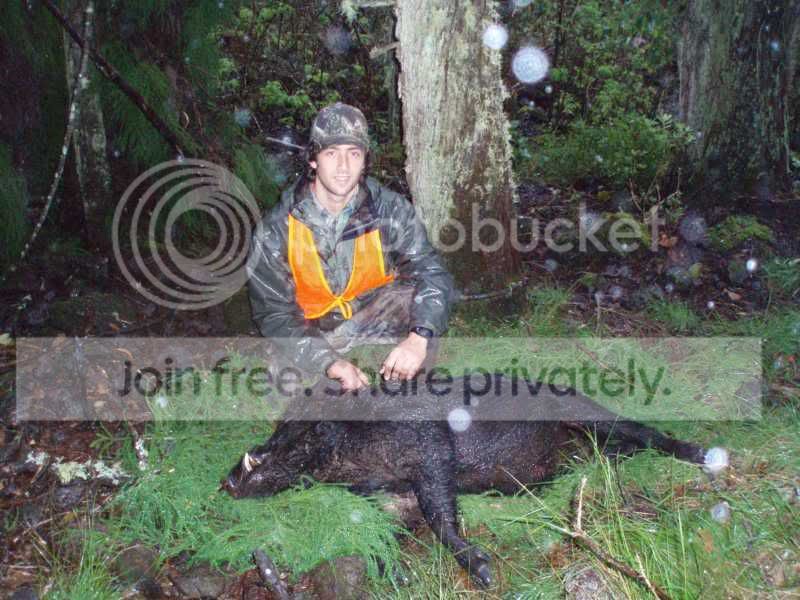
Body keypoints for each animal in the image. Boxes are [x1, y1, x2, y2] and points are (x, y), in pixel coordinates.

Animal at [222, 374, 714, 587]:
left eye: (288, 425)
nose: (225, 480)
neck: (357, 459)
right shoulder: (394, 494)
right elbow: (389, 528)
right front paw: (394, 575)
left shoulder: (432, 447)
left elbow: (442, 516)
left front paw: (484, 575)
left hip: (587, 410)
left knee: (644, 430)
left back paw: (704, 456)